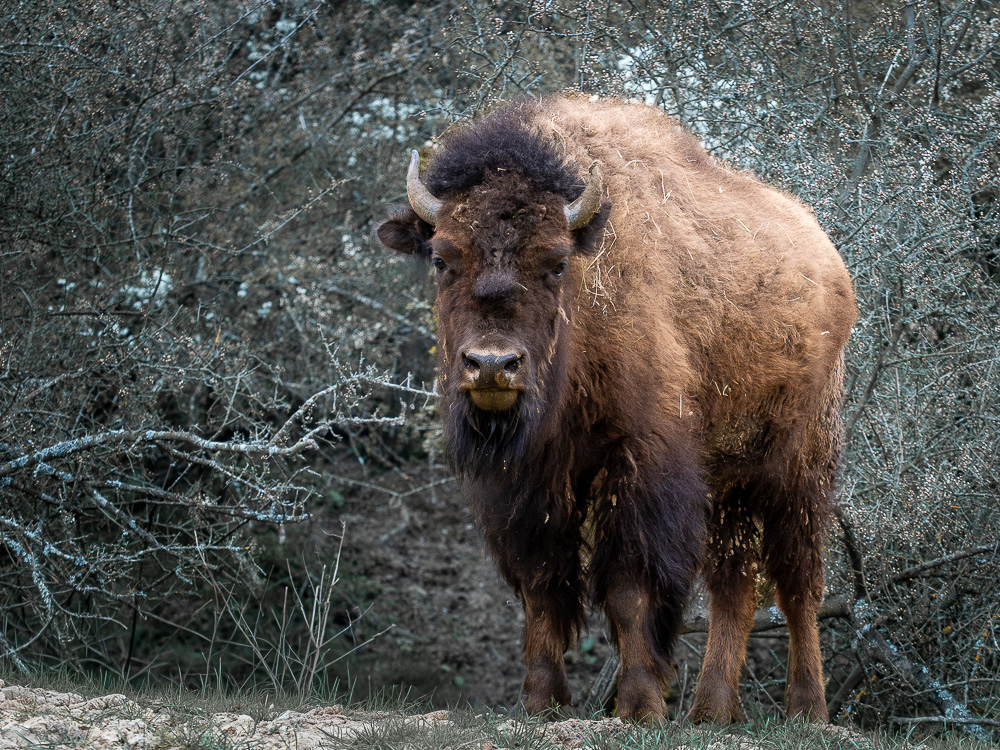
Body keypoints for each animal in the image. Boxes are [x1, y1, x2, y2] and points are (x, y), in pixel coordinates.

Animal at [377, 95, 856, 723]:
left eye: (556, 262)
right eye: (440, 259)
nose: (493, 365)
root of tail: (830, 263)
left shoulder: (641, 467)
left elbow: (631, 589)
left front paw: (639, 706)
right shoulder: (530, 485)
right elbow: (541, 586)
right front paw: (541, 701)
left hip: (797, 469)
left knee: (798, 581)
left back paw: (807, 709)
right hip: (729, 480)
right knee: (734, 586)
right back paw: (709, 711)